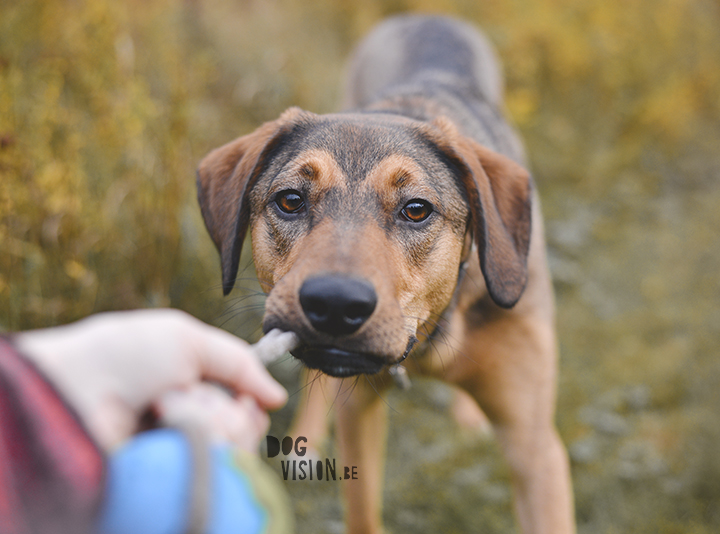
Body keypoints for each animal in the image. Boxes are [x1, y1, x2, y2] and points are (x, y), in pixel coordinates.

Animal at [195, 13, 572, 534]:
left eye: (416, 209)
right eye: (289, 200)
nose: (335, 303)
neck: (430, 335)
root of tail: (425, 16)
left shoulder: (534, 446)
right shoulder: (358, 413)